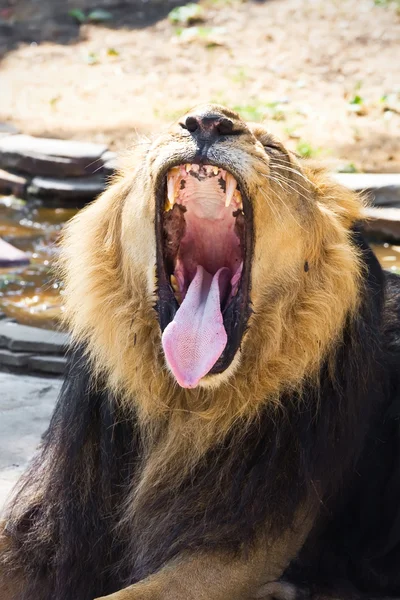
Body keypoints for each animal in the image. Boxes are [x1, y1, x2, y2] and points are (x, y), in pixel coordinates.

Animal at [0, 104, 400, 600]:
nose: (208, 120)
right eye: (175, 126)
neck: (183, 407)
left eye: (274, 148)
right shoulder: (49, 525)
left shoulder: (239, 555)